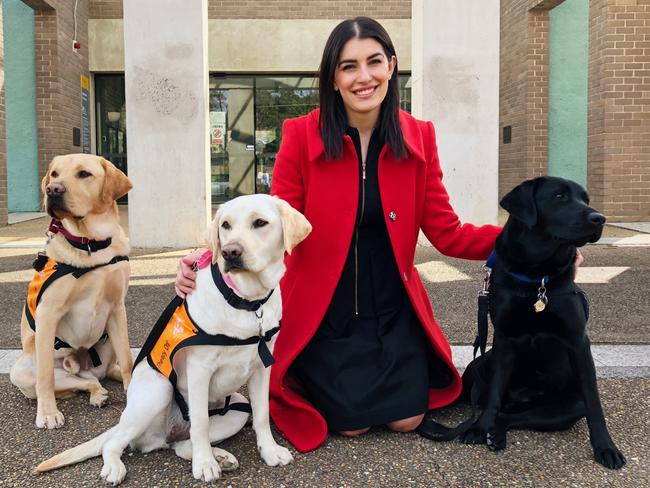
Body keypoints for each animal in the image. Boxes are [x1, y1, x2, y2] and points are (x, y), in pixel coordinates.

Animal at [10, 154, 134, 428]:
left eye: (84, 174)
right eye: (54, 174)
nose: (52, 190)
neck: (91, 244)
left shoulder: (117, 308)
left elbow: (128, 360)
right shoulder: (48, 314)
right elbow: (45, 376)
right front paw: (47, 414)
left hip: (108, 341)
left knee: (102, 373)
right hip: (21, 371)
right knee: (83, 382)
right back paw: (95, 395)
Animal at [34, 193, 312, 484]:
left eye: (260, 222)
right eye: (225, 225)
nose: (230, 252)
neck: (245, 301)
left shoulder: (261, 368)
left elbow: (262, 415)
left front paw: (269, 451)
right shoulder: (200, 367)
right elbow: (200, 422)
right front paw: (204, 464)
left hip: (237, 408)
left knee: (181, 445)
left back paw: (220, 457)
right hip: (158, 391)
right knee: (116, 443)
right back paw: (117, 467)